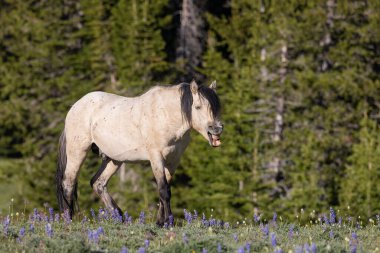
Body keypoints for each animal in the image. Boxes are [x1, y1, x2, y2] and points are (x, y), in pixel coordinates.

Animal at [55, 79, 224, 225]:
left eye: (216, 107)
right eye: (198, 107)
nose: (217, 129)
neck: (166, 115)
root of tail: (75, 107)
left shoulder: (173, 161)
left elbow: (166, 189)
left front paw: (160, 222)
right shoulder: (156, 157)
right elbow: (163, 190)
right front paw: (168, 222)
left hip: (113, 159)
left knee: (98, 183)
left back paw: (119, 217)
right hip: (77, 152)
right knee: (68, 183)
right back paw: (68, 220)